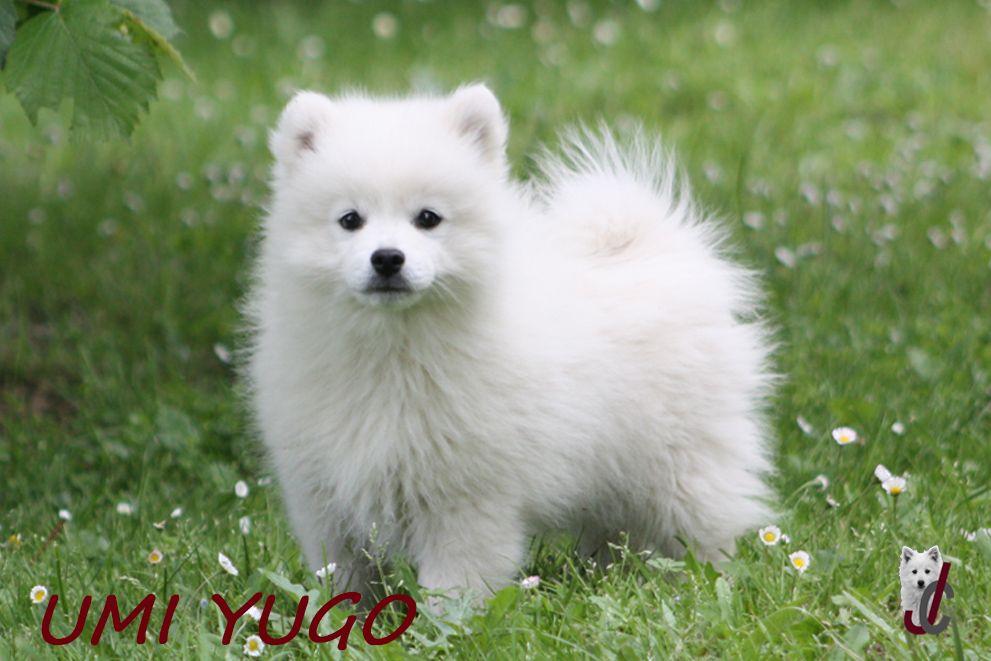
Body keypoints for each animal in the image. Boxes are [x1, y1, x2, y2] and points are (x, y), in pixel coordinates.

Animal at [245, 83, 775, 597]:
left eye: (428, 218)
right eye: (350, 219)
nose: (388, 258)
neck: (391, 351)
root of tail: (655, 244)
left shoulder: (467, 499)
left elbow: (455, 586)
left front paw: (445, 624)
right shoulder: (322, 496)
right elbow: (346, 574)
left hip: (682, 466)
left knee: (702, 532)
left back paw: (703, 590)